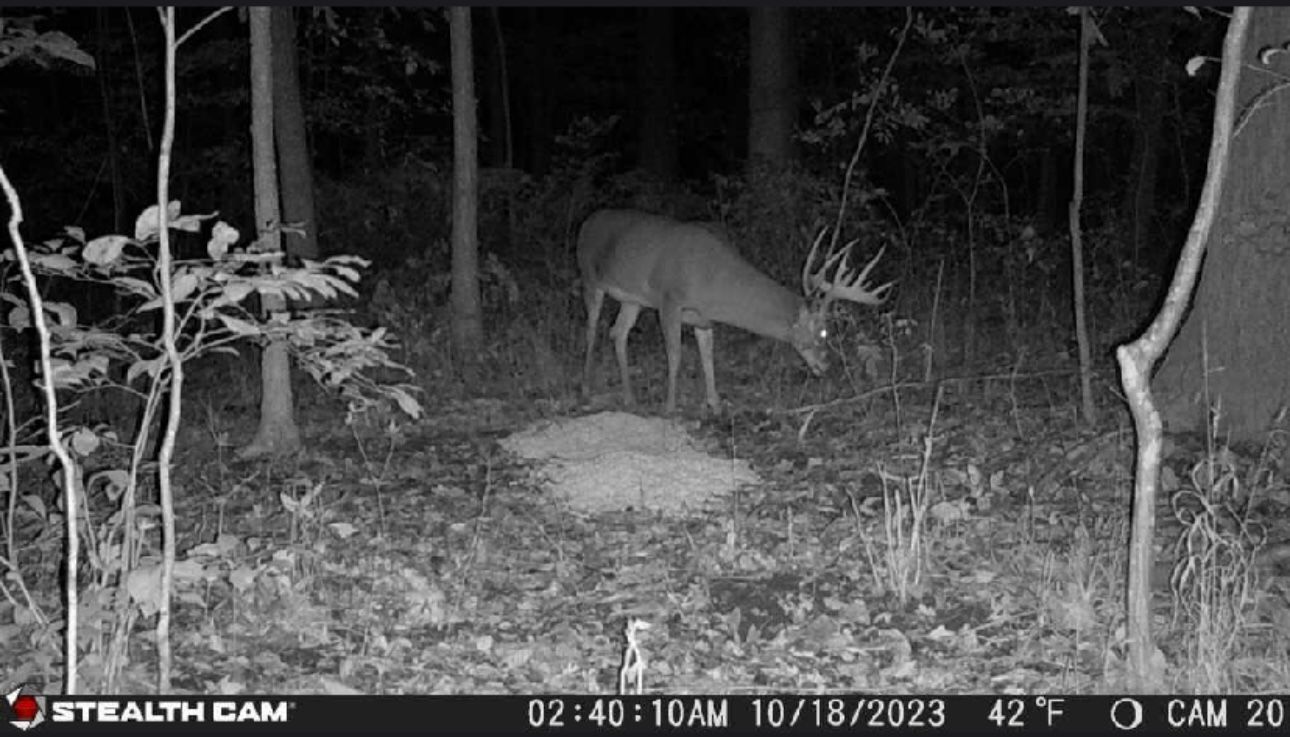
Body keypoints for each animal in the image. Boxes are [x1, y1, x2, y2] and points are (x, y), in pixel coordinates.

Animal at [577, 209, 892, 414]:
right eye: (824, 331)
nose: (828, 366)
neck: (712, 281)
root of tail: (587, 221)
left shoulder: (703, 318)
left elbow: (708, 355)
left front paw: (715, 404)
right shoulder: (669, 300)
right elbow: (675, 354)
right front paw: (670, 407)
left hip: (633, 300)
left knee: (617, 332)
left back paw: (629, 398)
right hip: (590, 278)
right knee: (591, 330)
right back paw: (587, 389)